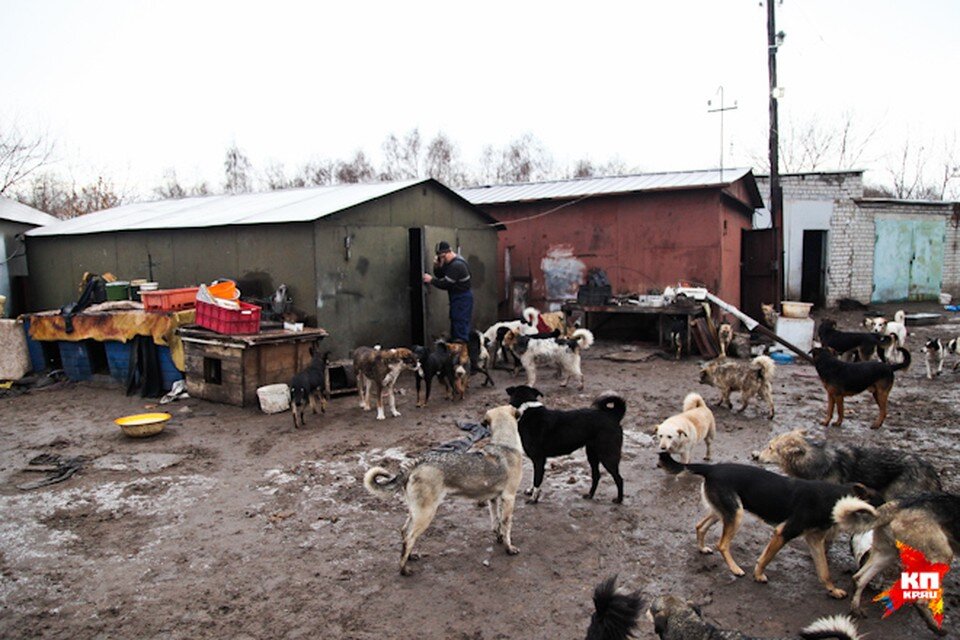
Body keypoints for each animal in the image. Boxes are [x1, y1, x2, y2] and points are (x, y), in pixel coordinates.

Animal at [362, 404, 524, 576]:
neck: (504, 444)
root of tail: (416, 464)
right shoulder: (509, 498)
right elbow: (506, 526)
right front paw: (509, 548)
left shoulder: (493, 498)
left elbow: (496, 521)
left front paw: (499, 537)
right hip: (426, 513)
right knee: (409, 538)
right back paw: (404, 569)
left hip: (415, 511)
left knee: (404, 532)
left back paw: (411, 556)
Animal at [656, 452, 880, 596]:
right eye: (876, 505)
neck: (834, 500)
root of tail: (713, 467)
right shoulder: (783, 533)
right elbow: (765, 558)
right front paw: (758, 575)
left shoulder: (814, 540)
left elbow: (824, 570)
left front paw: (833, 590)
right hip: (735, 515)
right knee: (722, 544)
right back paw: (735, 569)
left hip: (724, 511)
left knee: (700, 526)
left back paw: (702, 548)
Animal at [832, 492, 960, 632]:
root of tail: (898, 505)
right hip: (943, 556)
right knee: (920, 601)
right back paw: (935, 627)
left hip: (886, 555)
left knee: (859, 578)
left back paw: (856, 610)